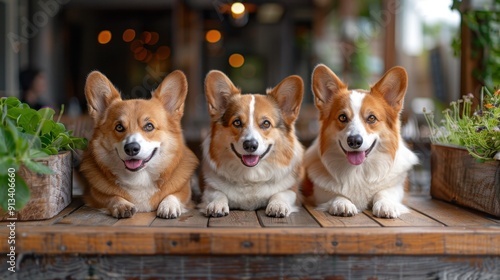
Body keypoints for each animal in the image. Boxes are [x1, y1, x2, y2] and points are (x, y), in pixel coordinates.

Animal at [80, 70, 199, 219]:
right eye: (119, 127)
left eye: (149, 126)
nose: (131, 148)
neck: (139, 177)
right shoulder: (93, 195)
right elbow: (111, 197)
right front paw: (121, 205)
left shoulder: (185, 192)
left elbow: (174, 194)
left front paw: (168, 205)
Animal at [199, 70, 304, 219]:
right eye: (237, 122)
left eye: (266, 123)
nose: (250, 145)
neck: (251, 176)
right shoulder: (208, 189)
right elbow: (217, 193)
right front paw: (217, 204)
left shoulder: (293, 191)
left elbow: (282, 193)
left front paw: (278, 205)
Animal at [304, 64, 418, 219]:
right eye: (342, 117)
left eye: (371, 118)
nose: (354, 141)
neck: (358, 170)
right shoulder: (318, 193)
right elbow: (334, 193)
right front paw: (342, 203)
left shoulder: (397, 188)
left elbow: (384, 192)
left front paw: (386, 204)